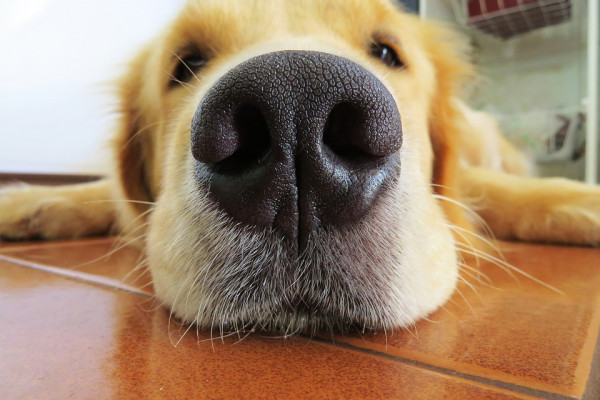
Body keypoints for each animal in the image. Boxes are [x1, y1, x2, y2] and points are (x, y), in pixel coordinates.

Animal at [1, 0, 600, 334]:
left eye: (388, 52)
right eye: (186, 64)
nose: (297, 112)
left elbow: (506, 193)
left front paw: (582, 201)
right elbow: (107, 195)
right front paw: (30, 200)